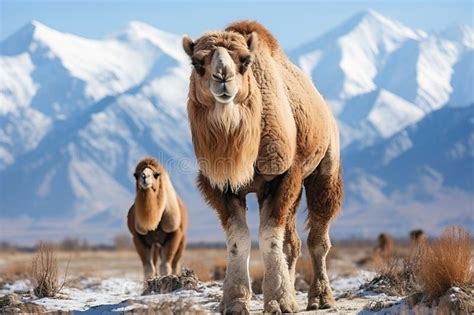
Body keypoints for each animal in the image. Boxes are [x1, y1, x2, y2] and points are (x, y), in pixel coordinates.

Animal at [183, 20, 342, 314]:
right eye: (197, 63)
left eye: (245, 61)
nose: (222, 77)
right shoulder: (220, 184)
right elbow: (238, 238)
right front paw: (234, 302)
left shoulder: (283, 174)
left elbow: (269, 236)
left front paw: (280, 302)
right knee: (292, 241)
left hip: (324, 166)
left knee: (318, 236)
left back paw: (321, 298)